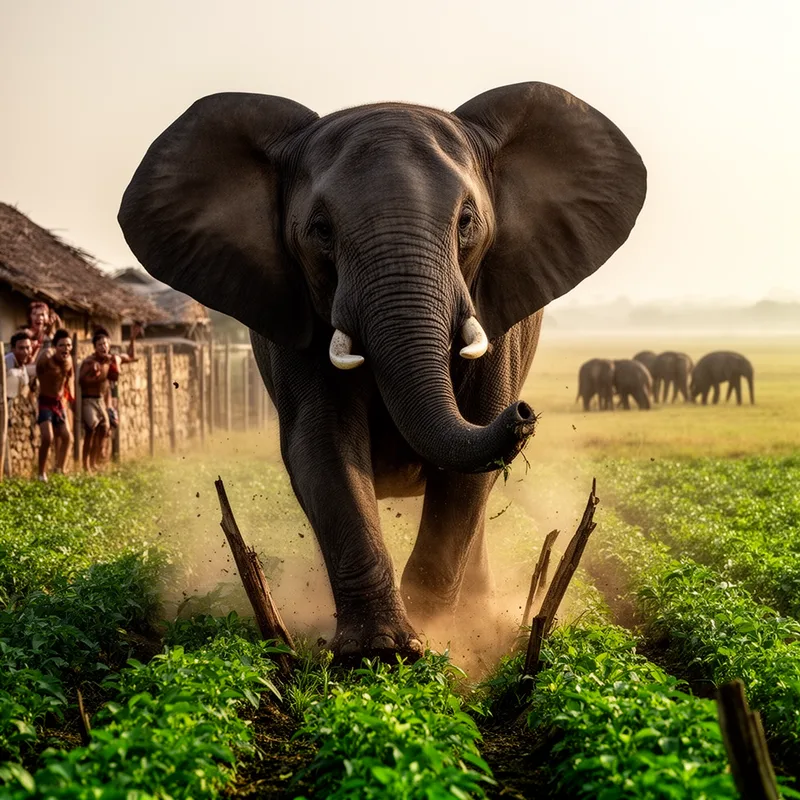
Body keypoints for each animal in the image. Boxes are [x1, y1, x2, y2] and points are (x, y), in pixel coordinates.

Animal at [118, 82, 646, 664]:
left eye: (467, 222)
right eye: (321, 229)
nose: (525, 412)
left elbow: (466, 470)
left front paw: (443, 640)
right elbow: (322, 444)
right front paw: (381, 652)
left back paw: (480, 611)